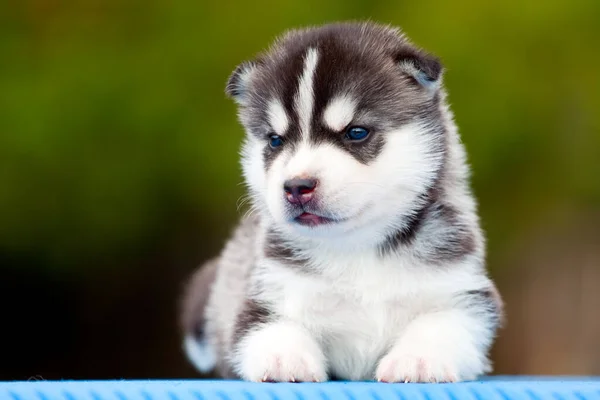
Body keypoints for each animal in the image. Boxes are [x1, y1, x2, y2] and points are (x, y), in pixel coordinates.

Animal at [178, 20, 502, 382]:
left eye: (356, 132)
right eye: (275, 140)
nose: (297, 186)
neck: (358, 249)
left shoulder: (465, 292)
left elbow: (442, 322)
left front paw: (419, 358)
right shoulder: (267, 292)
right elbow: (270, 328)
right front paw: (283, 357)